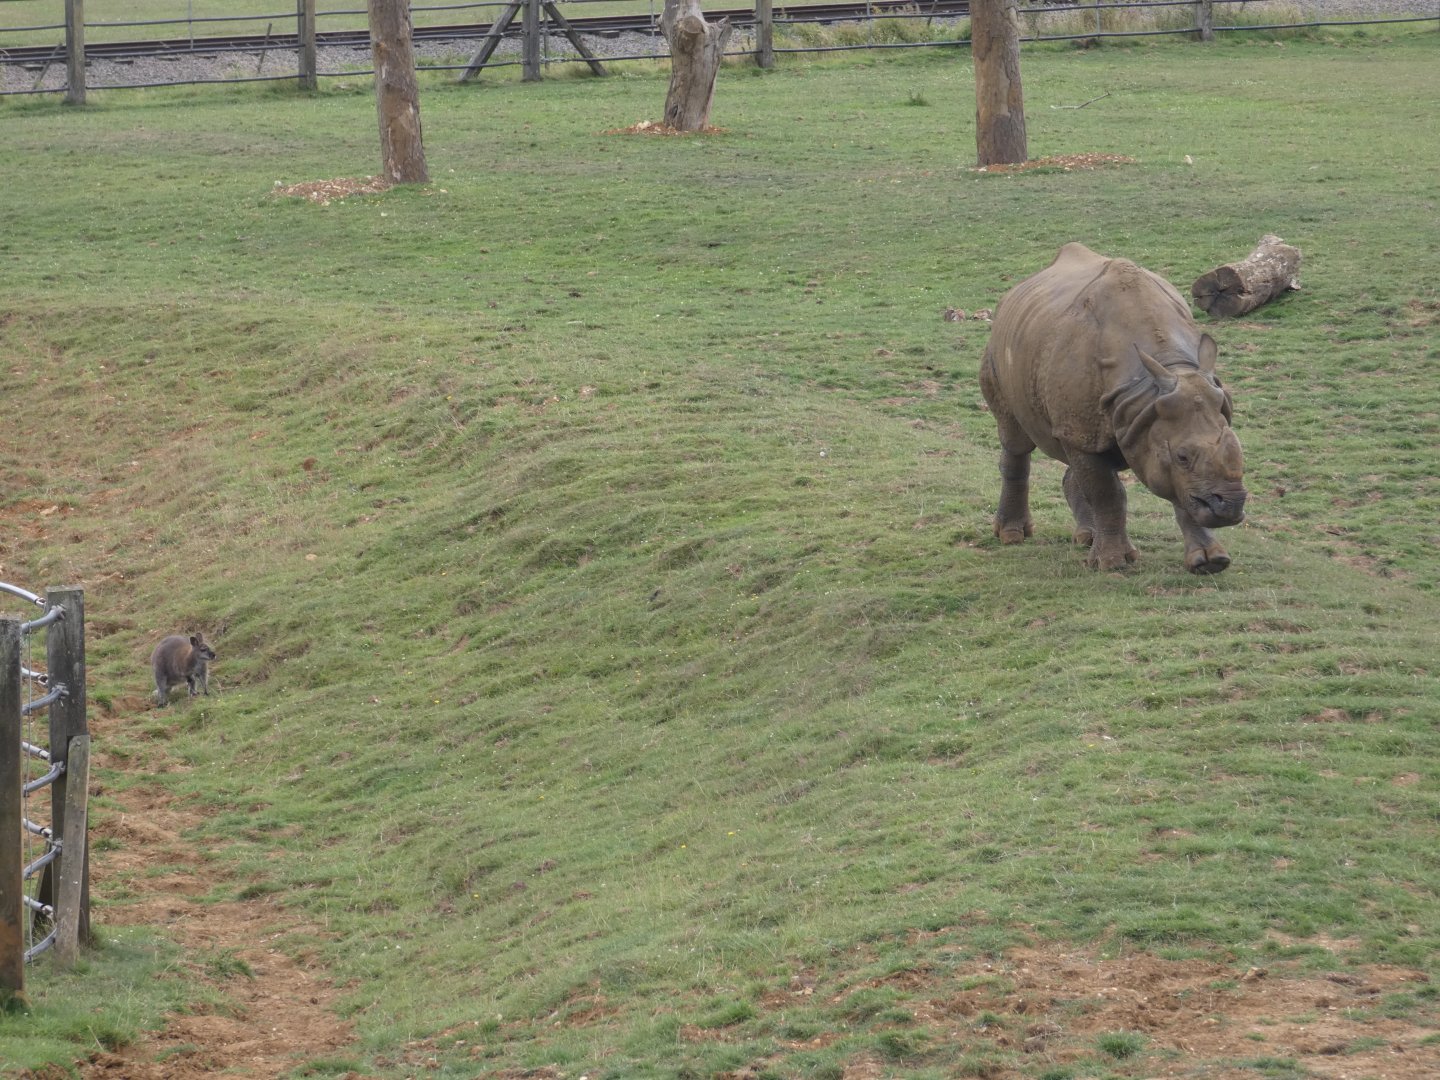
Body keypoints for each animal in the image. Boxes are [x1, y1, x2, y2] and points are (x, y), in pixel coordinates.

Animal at [979, 242, 1247, 574]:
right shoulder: (1086, 430)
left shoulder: (1141, 419)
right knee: (1016, 441)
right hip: (997, 351)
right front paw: (1112, 564)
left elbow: (1181, 494)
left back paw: (1087, 540)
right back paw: (1012, 536)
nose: (1231, 508)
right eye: (1182, 457)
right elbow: (1108, 494)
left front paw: (1211, 563)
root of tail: (1013, 292)